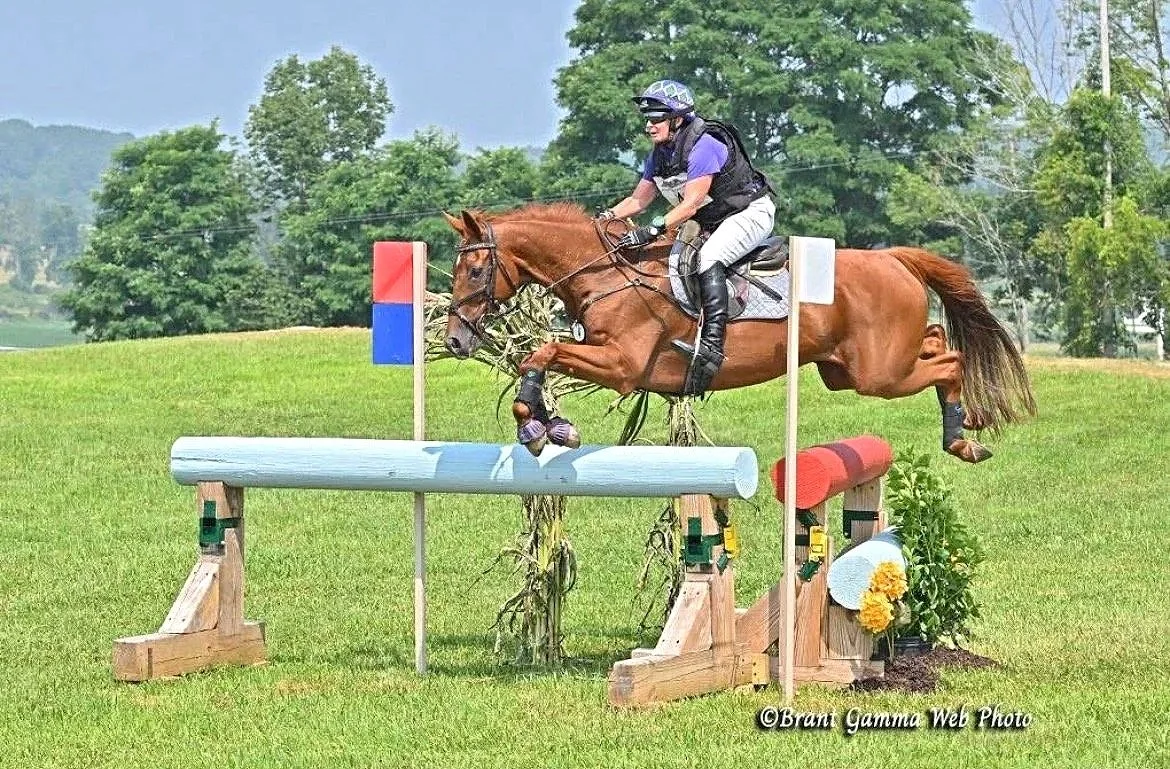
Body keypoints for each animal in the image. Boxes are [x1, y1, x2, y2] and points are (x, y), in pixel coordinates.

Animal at [442, 203, 1035, 463]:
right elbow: (544, 357)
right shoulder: (602, 355)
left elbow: (541, 352)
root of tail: (892, 257)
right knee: (936, 340)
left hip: (879, 373)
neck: (607, 271)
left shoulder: (623, 367)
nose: (454, 341)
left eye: (474, 270)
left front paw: (538, 425)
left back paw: (962, 437)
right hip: (848, 370)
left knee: (951, 360)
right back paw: (966, 426)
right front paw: (547, 423)